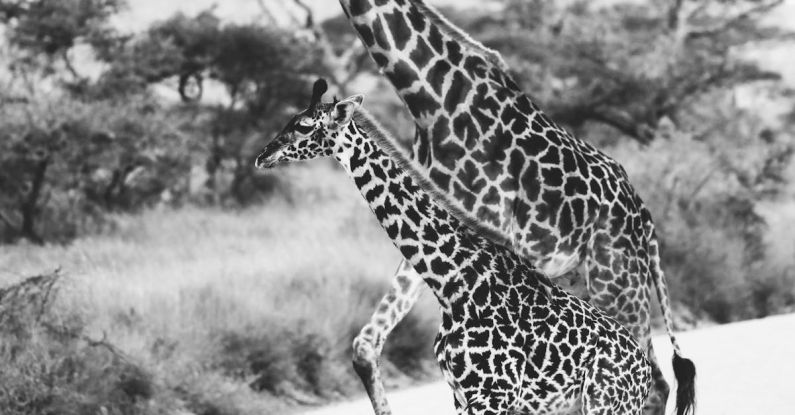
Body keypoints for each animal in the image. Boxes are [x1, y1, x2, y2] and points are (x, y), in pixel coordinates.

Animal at [254, 80, 673, 415]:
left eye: (304, 125)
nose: (263, 155)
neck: (454, 285)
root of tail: (642, 371)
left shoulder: (493, 395)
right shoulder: (462, 394)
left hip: (606, 403)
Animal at [337, 1, 694, 413]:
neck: (429, 101)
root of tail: (644, 216)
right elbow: (365, 347)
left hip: (619, 282)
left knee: (655, 382)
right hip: (581, 287)